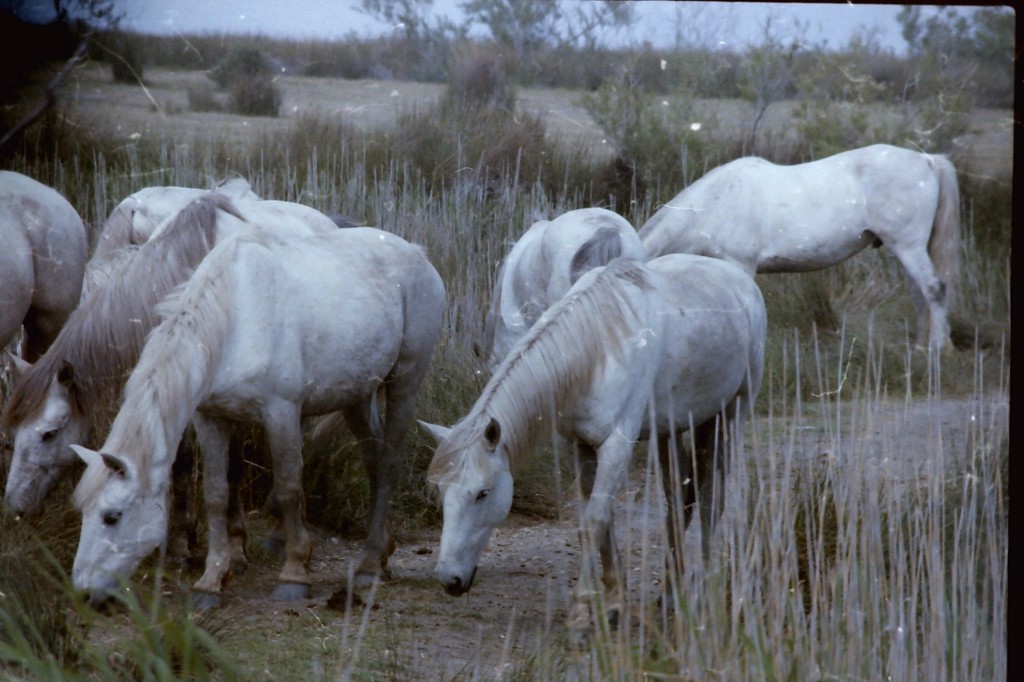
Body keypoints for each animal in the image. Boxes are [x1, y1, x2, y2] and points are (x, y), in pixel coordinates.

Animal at [68, 208, 444, 606]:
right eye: (84, 513)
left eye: (112, 516)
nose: (84, 592)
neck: (234, 318)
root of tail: (417, 253)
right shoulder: (211, 418)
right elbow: (216, 494)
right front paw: (211, 579)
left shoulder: (282, 413)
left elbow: (290, 489)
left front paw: (295, 573)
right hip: (357, 395)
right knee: (373, 459)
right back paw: (382, 552)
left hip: (405, 381)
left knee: (388, 464)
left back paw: (370, 564)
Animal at [419, 253, 765, 630]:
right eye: (440, 491)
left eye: (482, 493)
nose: (449, 579)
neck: (600, 349)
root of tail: (739, 279)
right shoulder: (581, 445)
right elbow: (599, 520)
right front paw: (612, 602)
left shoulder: (616, 446)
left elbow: (595, 521)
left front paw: (582, 610)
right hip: (672, 429)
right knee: (678, 502)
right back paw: (669, 598)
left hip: (730, 414)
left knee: (710, 501)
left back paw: (701, 591)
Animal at [638, 142, 958, 350]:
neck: (713, 203)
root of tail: (927, 161)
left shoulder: (741, 264)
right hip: (908, 249)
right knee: (920, 295)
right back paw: (920, 347)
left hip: (908, 246)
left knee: (934, 290)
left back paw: (937, 349)